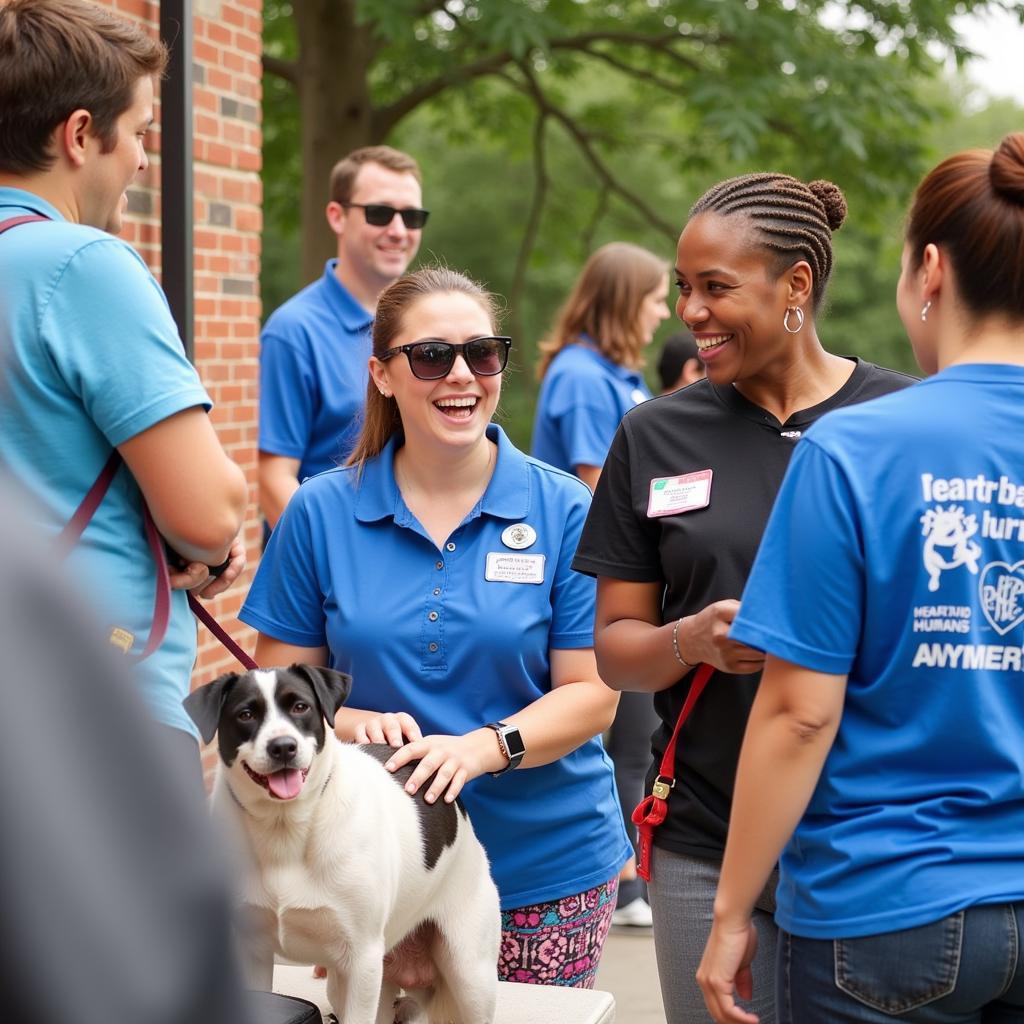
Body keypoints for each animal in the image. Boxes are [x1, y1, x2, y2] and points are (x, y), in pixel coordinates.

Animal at [187, 663, 499, 1024]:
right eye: (246, 714)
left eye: (300, 707)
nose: (283, 747)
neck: (285, 827)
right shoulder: (250, 951)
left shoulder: (361, 960)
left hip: (468, 974)